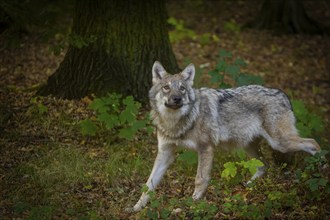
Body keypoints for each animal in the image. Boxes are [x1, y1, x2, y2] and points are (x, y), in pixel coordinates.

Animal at [125, 61, 320, 212]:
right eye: (166, 88)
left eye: (182, 89)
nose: (177, 99)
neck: (175, 122)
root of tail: (284, 94)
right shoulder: (165, 152)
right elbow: (149, 183)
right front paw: (136, 208)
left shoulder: (205, 148)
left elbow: (200, 180)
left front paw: (191, 205)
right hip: (250, 147)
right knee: (264, 165)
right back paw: (247, 186)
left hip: (280, 143)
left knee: (314, 144)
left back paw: (320, 172)